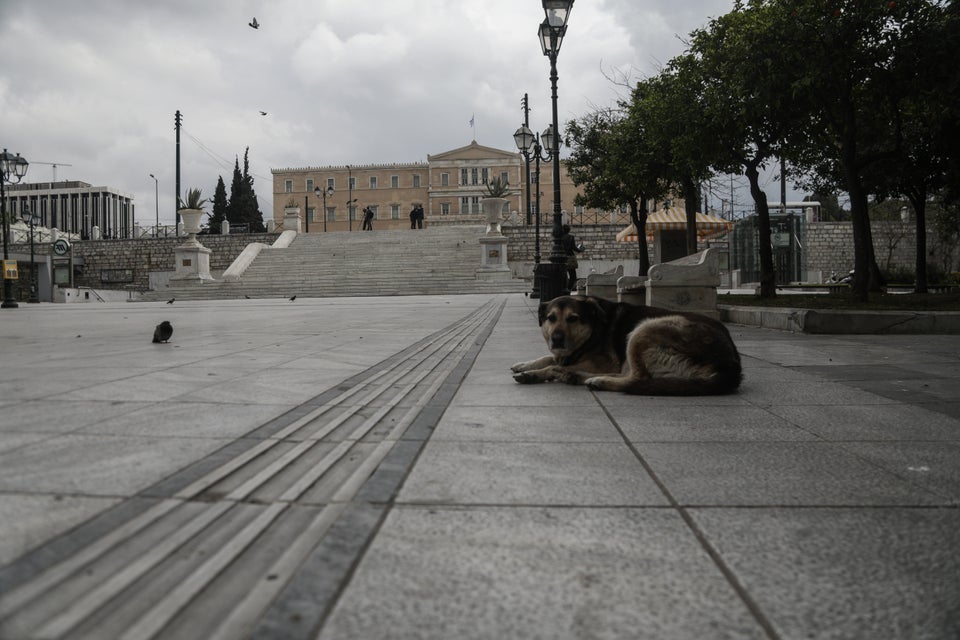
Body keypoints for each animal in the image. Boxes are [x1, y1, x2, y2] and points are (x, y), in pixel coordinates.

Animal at [510, 296, 744, 396]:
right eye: (550, 318)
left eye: (573, 319)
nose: (556, 339)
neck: (593, 330)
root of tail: (732, 364)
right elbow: (548, 357)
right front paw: (524, 365)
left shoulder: (604, 362)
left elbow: (553, 364)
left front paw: (533, 373)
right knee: (633, 375)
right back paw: (576, 376)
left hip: (645, 329)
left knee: (638, 379)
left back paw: (592, 379)